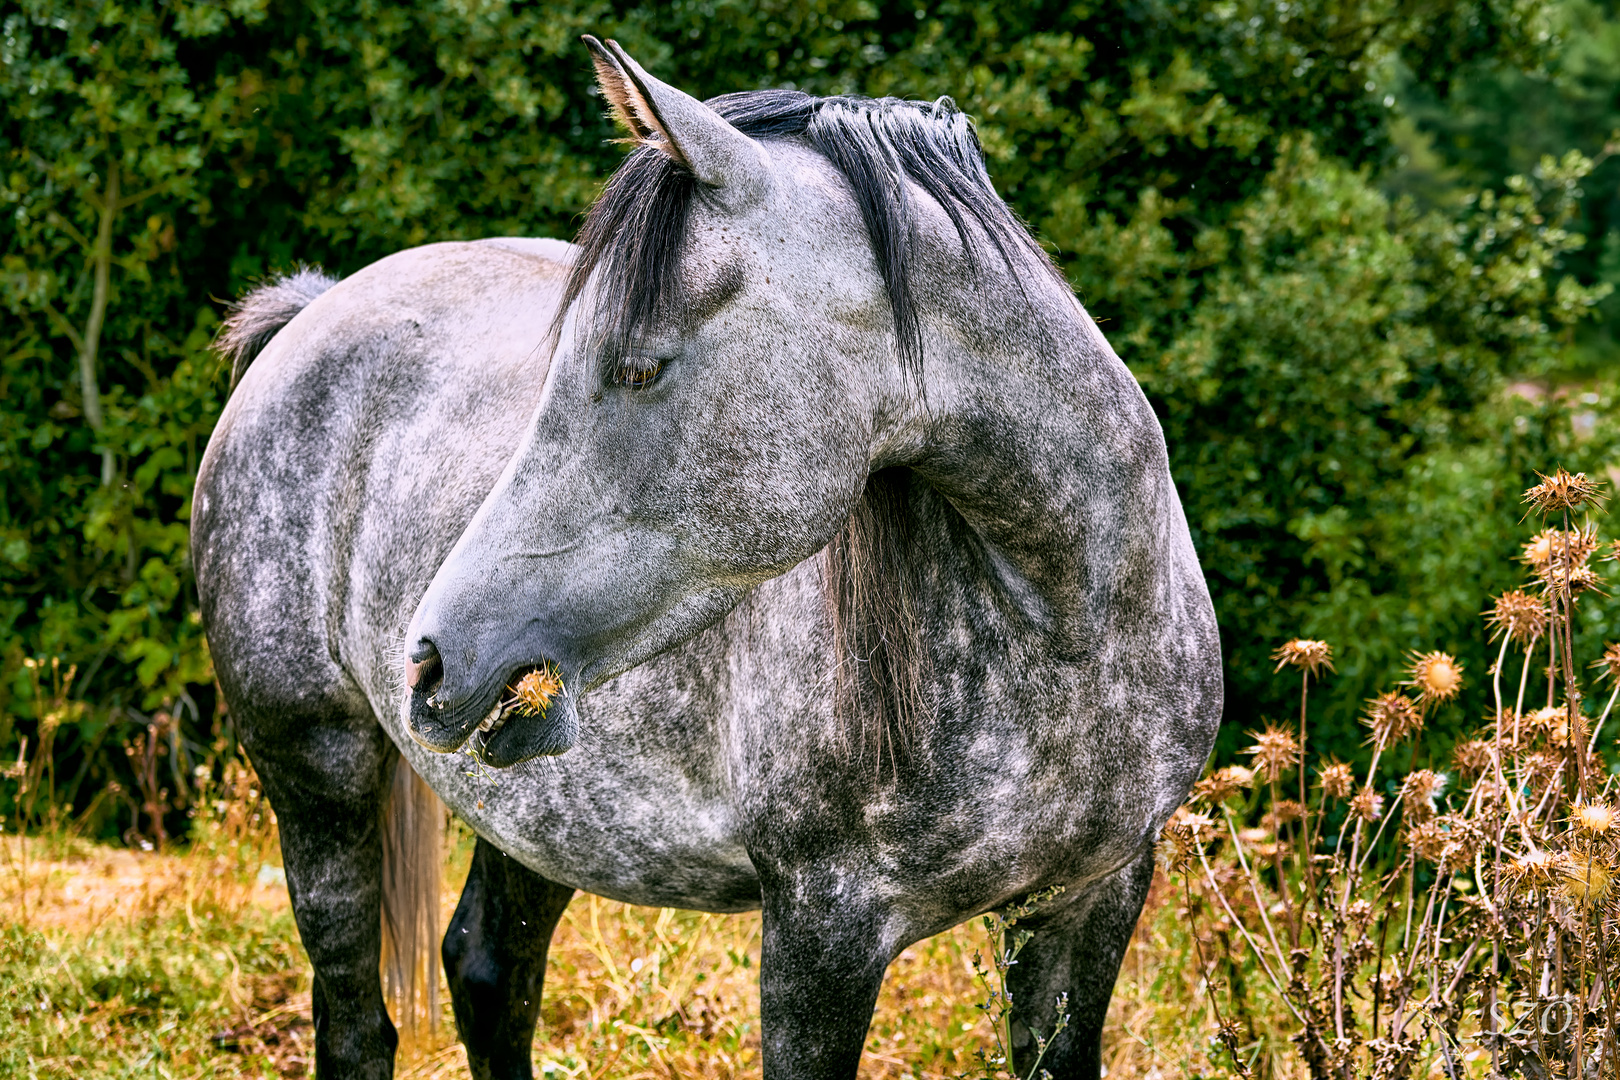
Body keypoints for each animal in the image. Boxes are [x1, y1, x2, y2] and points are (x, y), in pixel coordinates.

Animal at [189, 38, 1218, 1080]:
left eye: (638, 366)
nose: (430, 659)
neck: (1070, 626)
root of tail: (313, 312)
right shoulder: (823, 933)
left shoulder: (1091, 901)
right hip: (318, 777)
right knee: (358, 1025)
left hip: (540, 820)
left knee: (487, 974)